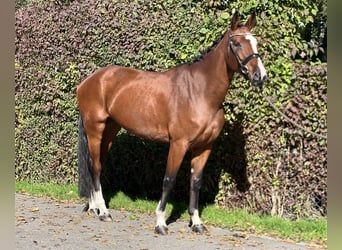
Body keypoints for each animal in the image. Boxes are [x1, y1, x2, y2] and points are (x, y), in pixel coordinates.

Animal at [76, 11, 268, 234]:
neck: (200, 92)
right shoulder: (178, 144)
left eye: (256, 42)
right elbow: (169, 180)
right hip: (95, 129)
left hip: (110, 130)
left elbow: (196, 182)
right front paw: (160, 222)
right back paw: (103, 211)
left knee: (95, 164)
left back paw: (94, 207)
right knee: (96, 167)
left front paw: (196, 222)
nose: (260, 76)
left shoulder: (204, 147)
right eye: (236, 43)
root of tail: (88, 81)